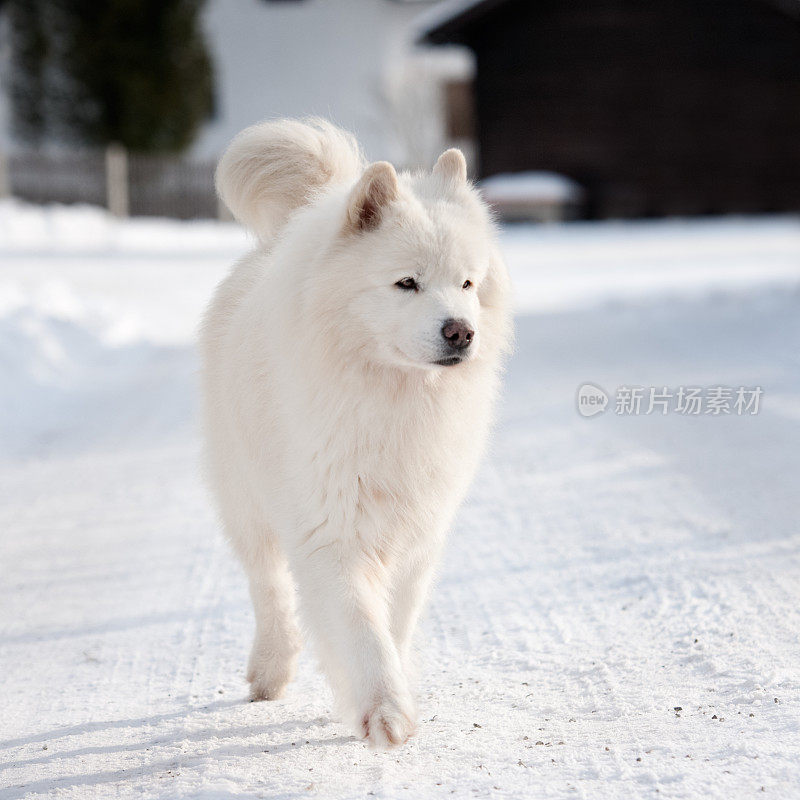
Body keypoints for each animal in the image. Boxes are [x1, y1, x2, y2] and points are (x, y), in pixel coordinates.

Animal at [200, 119, 512, 752]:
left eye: (468, 283)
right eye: (406, 283)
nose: (461, 331)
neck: (394, 400)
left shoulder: (418, 535)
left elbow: (392, 624)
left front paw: (386, 694)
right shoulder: (330, 532)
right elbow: (362, 629)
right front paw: (385, 713)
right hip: (246, 501)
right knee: (269, 588)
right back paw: (270, 672)